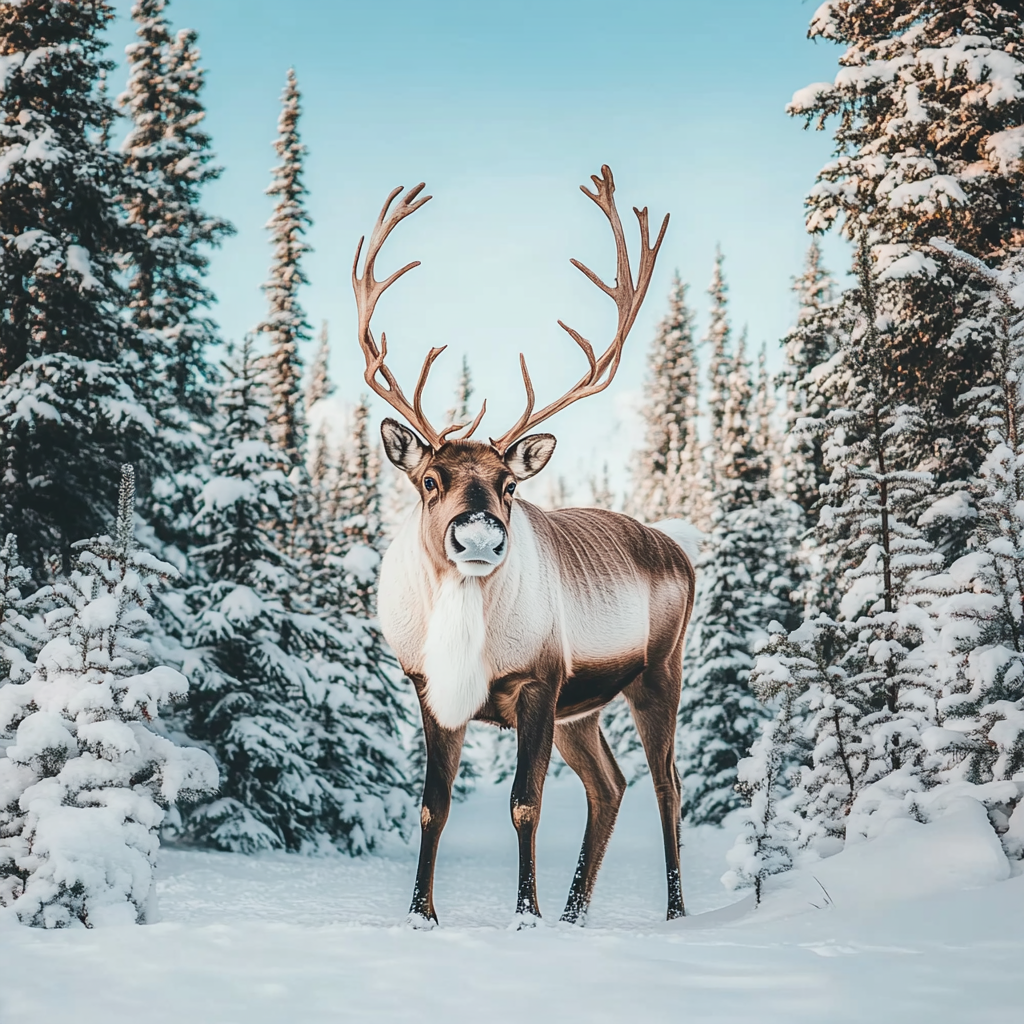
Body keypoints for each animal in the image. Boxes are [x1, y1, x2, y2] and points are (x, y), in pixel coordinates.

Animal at [352, 166, 697, 928]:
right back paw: (575, 913)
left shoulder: (540, 682)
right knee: (610, 785)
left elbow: (524, 804)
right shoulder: (430, 689)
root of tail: (679, 550)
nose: (479, 532)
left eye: (509, 483)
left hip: (656, 673)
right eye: (429, 479)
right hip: (584, 709)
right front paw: (421, 914)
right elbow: (433, 806)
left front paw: (524, 915)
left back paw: (673, 911)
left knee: (667, 784)